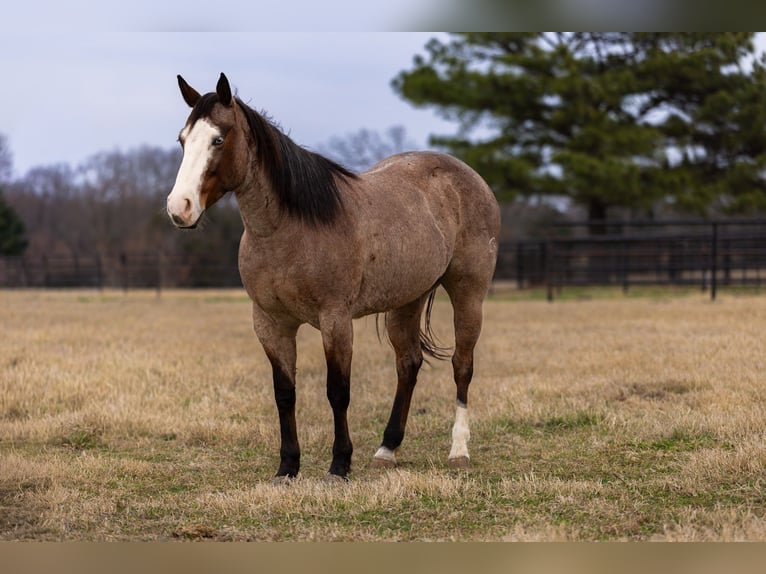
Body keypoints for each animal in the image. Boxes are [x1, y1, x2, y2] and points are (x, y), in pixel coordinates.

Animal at [166, 73, 500, 482]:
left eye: (218, 139)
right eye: (183, 139)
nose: (179, 208)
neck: (288, 230)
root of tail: (468, 176)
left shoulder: (335, 321)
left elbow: (337, 391)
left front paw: (339, 465)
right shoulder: (270, 323)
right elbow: (285, 393)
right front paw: (287, 467)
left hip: (469, 294)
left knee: (462, 366)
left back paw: (458, 450)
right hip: (406, 300)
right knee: (408, 365)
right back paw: (387, 449)